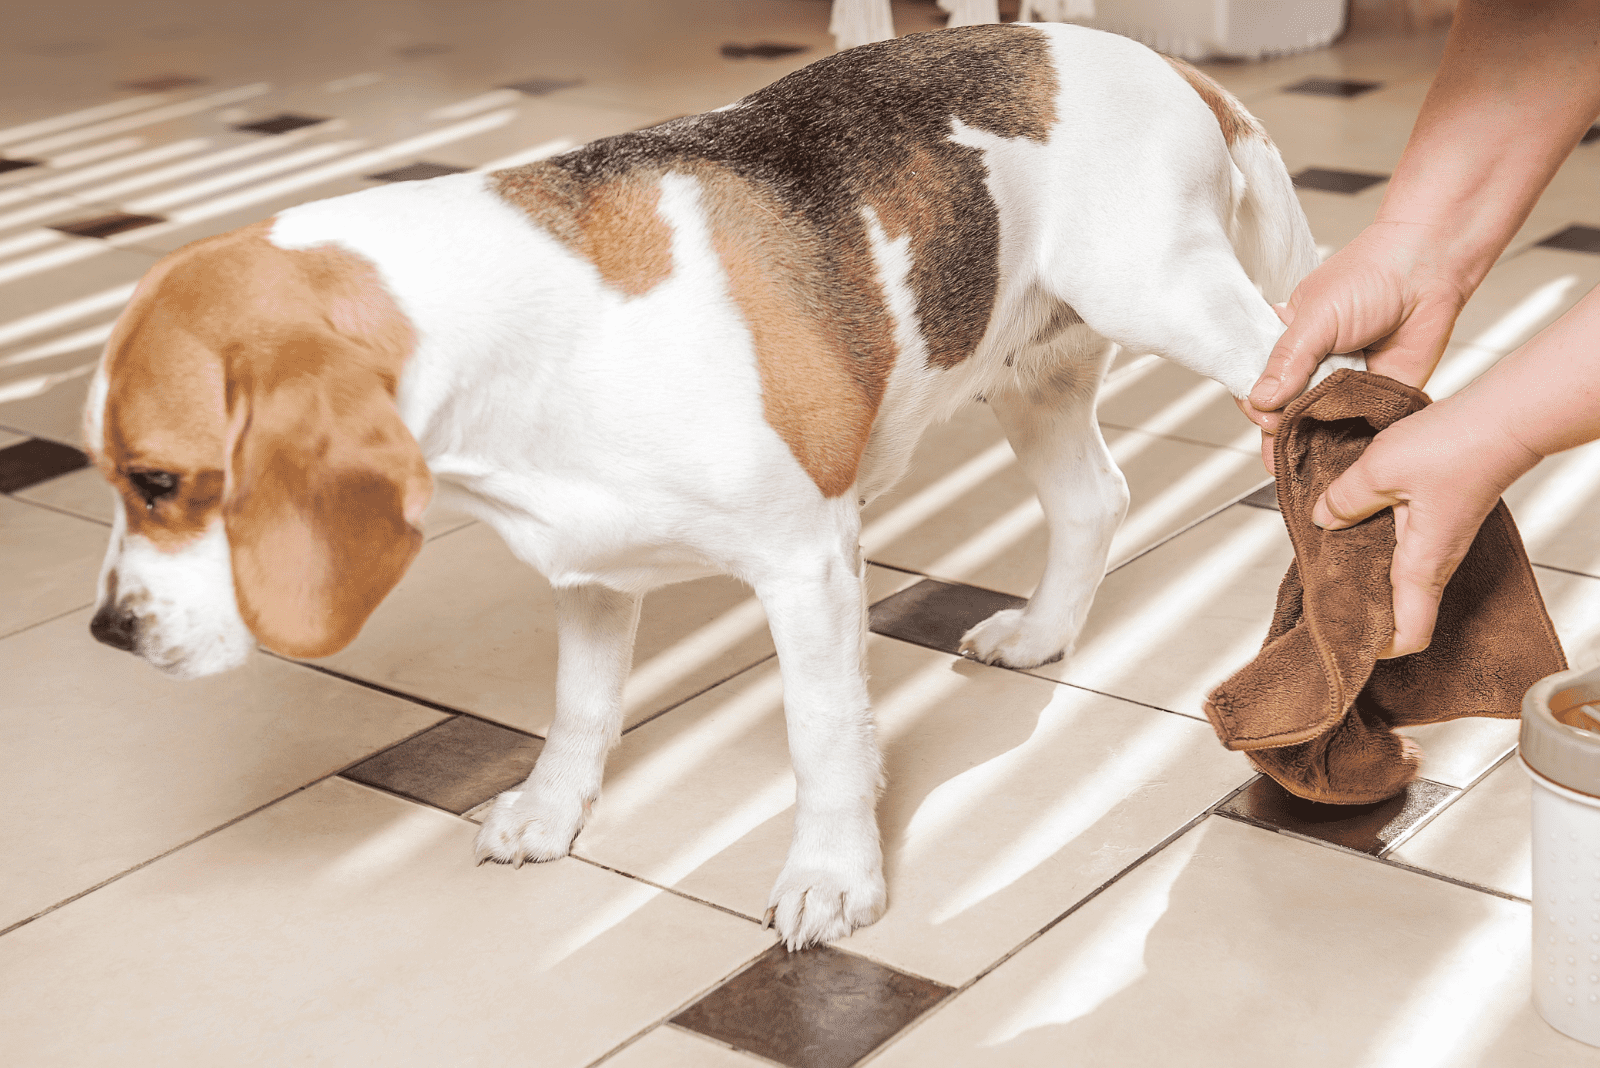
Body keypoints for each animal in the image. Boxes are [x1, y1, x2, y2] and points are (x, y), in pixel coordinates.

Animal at [81, 24, 1344, 946]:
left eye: (161, 479)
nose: (107, 632)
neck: (533, 330)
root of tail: (1154, 58)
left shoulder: (808, 567)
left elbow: (821, 735)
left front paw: (832, 877)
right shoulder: (590, 574)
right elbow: (579, 710)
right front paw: (551, 811)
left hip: (1184, 306)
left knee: (1320, 381)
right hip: (1030, 371)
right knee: (1094, 500)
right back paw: (1041, 635)